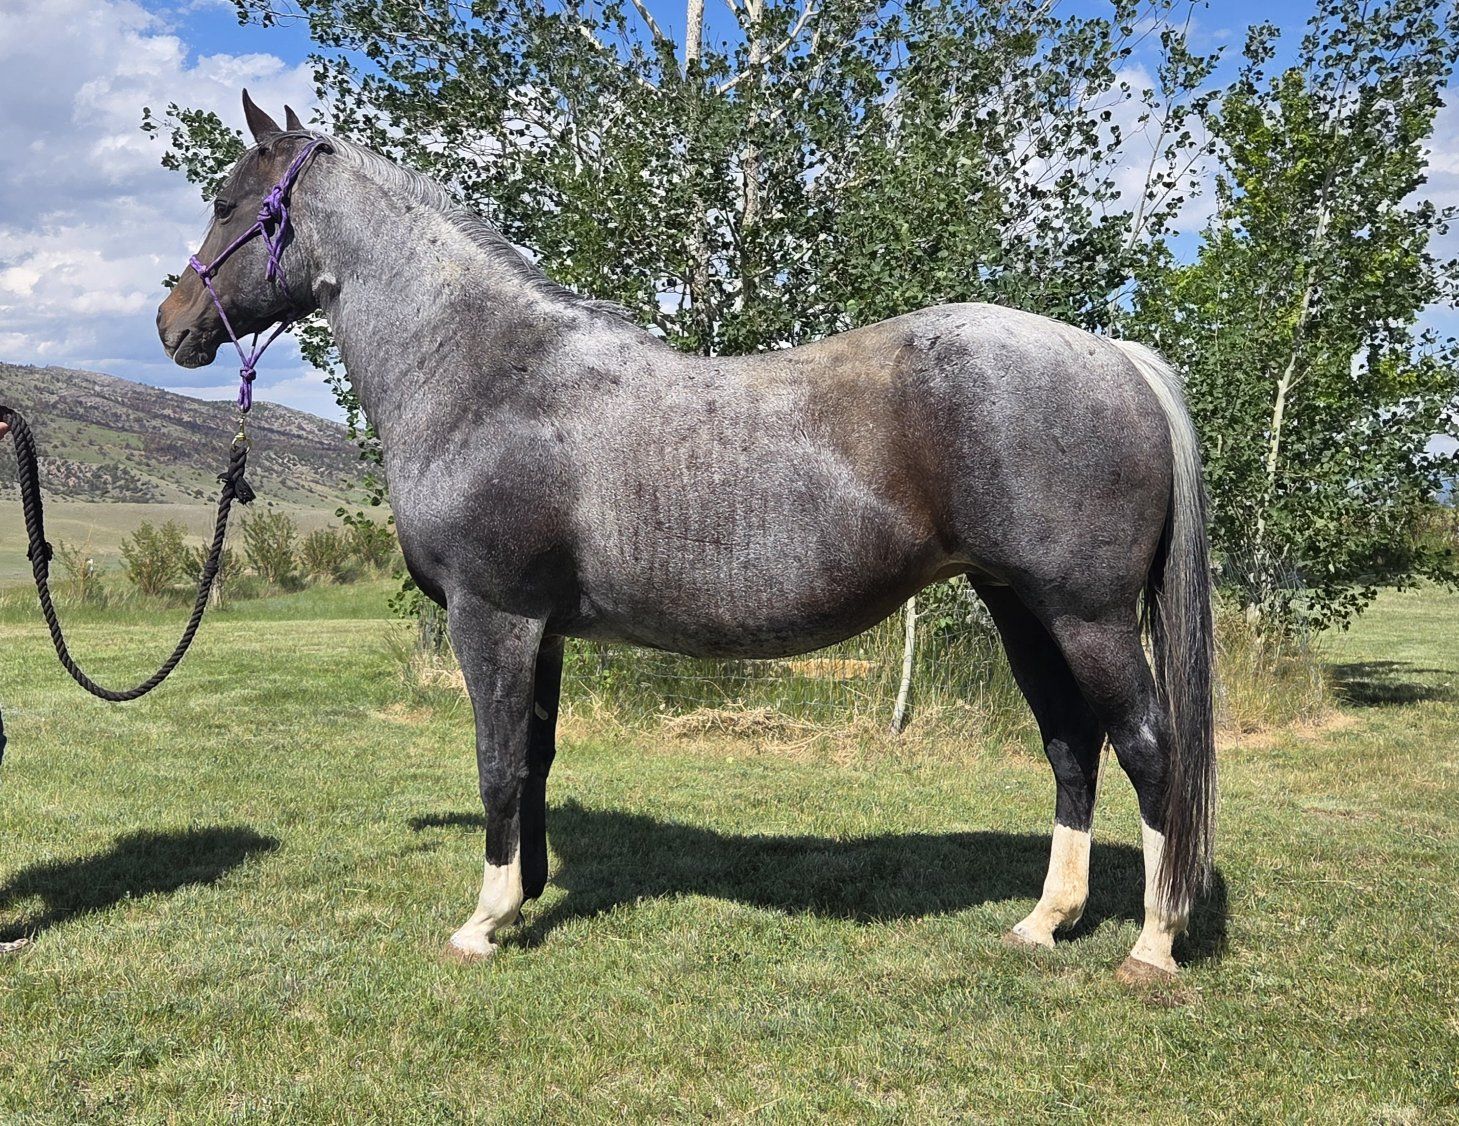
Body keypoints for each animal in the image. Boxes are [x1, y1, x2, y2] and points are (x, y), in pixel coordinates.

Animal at [156, 93, 1215, 984]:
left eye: (227, 203)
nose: (171, 323)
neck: (486, 376)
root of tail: (1113, 353)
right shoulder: (541, 630)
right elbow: (534, 761)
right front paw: (525, 897)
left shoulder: (490, 616)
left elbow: (497, 763)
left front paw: (482, 922)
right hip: (1019, 607)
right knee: (1071, 746)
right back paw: (1044, 920)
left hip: (1085, 616)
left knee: (1148, 747)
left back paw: (1153, 944)